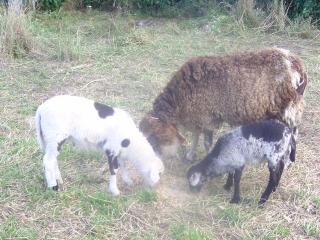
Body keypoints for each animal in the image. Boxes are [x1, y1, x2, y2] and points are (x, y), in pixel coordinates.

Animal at [35, 94, 165, 196]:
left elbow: (122, 165)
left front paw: (128, 181)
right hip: (55, 136)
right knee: (48, 161)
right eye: (159, 173)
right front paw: (115, 191)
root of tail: (40, 110)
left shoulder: (119, 151)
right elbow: (114, 169)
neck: (131, 142)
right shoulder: (111, 148)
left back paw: (59, 180)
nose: (156, 187)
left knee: (52, 159)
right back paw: (53, 186)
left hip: (51, 139)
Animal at [139, 47, 308, 160]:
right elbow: (195, 136)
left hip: (290, 110)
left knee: (293, 135)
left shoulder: (207, 118)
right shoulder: (197, 117)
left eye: (154, 138)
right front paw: (190, 155)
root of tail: (297, 64)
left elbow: (206, 143)